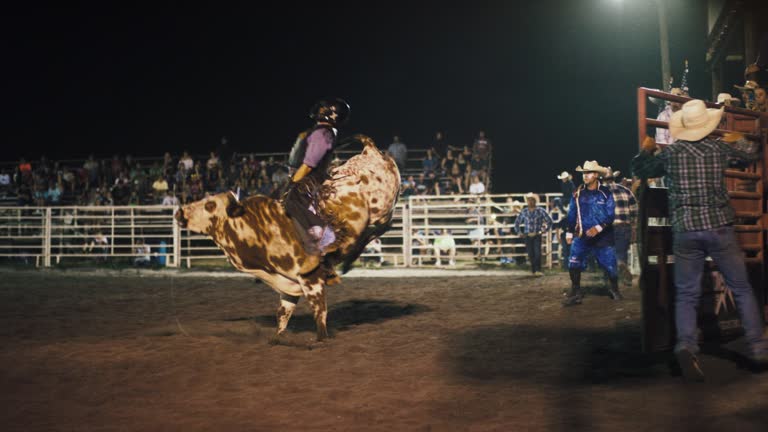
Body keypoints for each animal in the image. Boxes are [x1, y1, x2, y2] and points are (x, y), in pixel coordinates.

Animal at [176, 135, 402, 340]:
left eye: (209, 205)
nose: (179, 212)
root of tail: (369, 150)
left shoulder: (311, 278)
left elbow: (320, 313)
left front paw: (321, 340)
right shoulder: (288, 285)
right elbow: (283, 314)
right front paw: (278, 338)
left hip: (380, 206)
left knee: (382, 224)